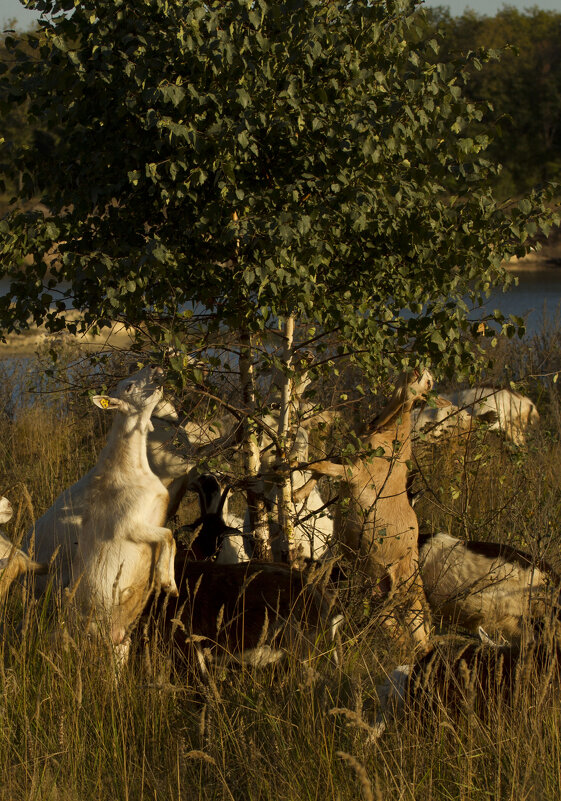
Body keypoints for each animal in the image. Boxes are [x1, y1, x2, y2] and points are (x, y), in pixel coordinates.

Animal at [68, 366, 177, 648]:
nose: (156, 368)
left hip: (121, 641)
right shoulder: (129, 525)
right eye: (128, 387)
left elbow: (171, 538)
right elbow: (169, 535)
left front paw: (170, 583)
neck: (132, 468)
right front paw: (166, 581)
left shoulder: (157, 516)